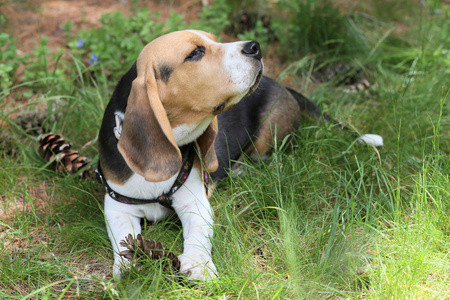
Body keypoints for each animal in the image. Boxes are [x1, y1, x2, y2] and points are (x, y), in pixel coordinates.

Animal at [98, 29, 384, 280]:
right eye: (195, 53)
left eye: (214, 39)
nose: (255, 47)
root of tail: (281, 85)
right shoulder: (116, 205)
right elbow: (123, 235)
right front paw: (129, 266)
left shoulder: (196, 203)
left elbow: (198, 234)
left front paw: (198, 264)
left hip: (268, 135)